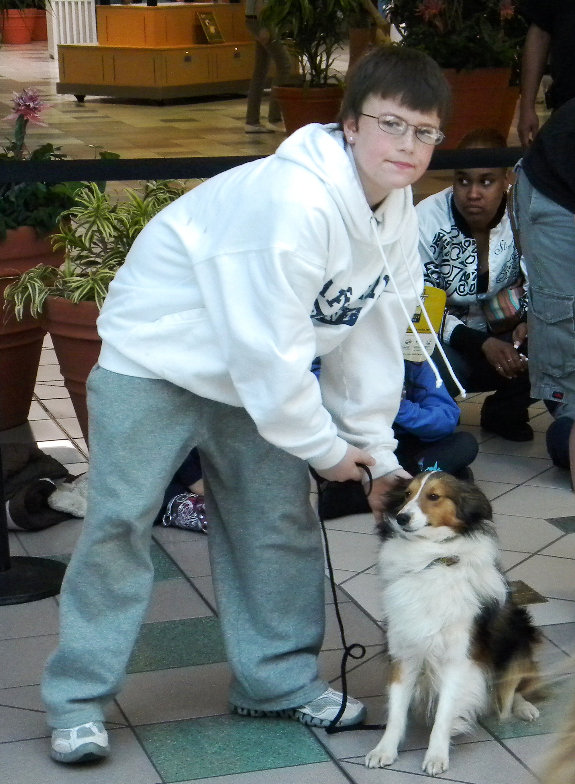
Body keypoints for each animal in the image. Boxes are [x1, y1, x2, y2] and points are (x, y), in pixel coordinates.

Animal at [366, 468, 544, 776]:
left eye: (434, 496)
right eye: (407, 494)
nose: (401, 518)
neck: (432, 559)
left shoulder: (459, 659)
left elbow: (444, 714)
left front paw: (436, 756)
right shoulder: (404, 652)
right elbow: (396, 711)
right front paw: (384, 750)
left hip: (519, 633)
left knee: (513, 686)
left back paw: (524, 708)